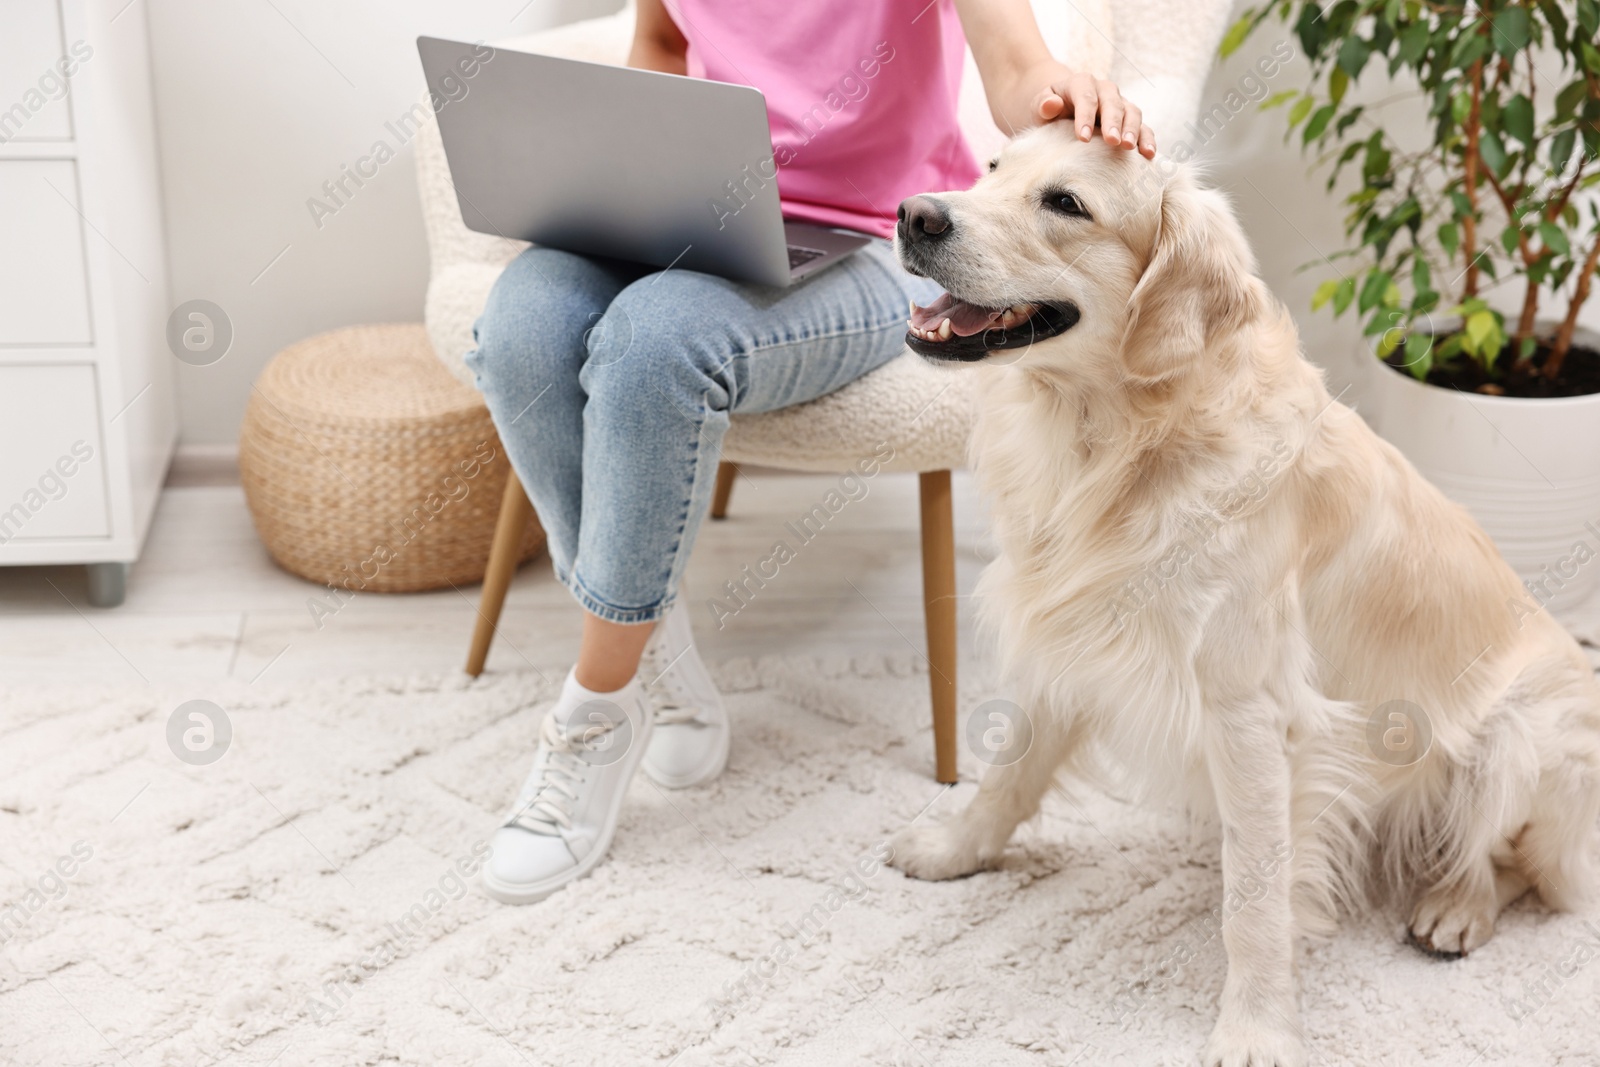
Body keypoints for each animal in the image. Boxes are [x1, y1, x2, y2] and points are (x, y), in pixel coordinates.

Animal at [889, 127, 1600, 1067]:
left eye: (1066, 204)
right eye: (992, 170)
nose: (913, 214)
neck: (1127, 440)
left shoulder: (1250, 713)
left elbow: (1255, 903)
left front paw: (1256, 1025)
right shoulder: (1077, 636)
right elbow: (1008, 775)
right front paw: (953, 848)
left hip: (1524, 736)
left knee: (1525, 865)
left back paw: (1457, 903)